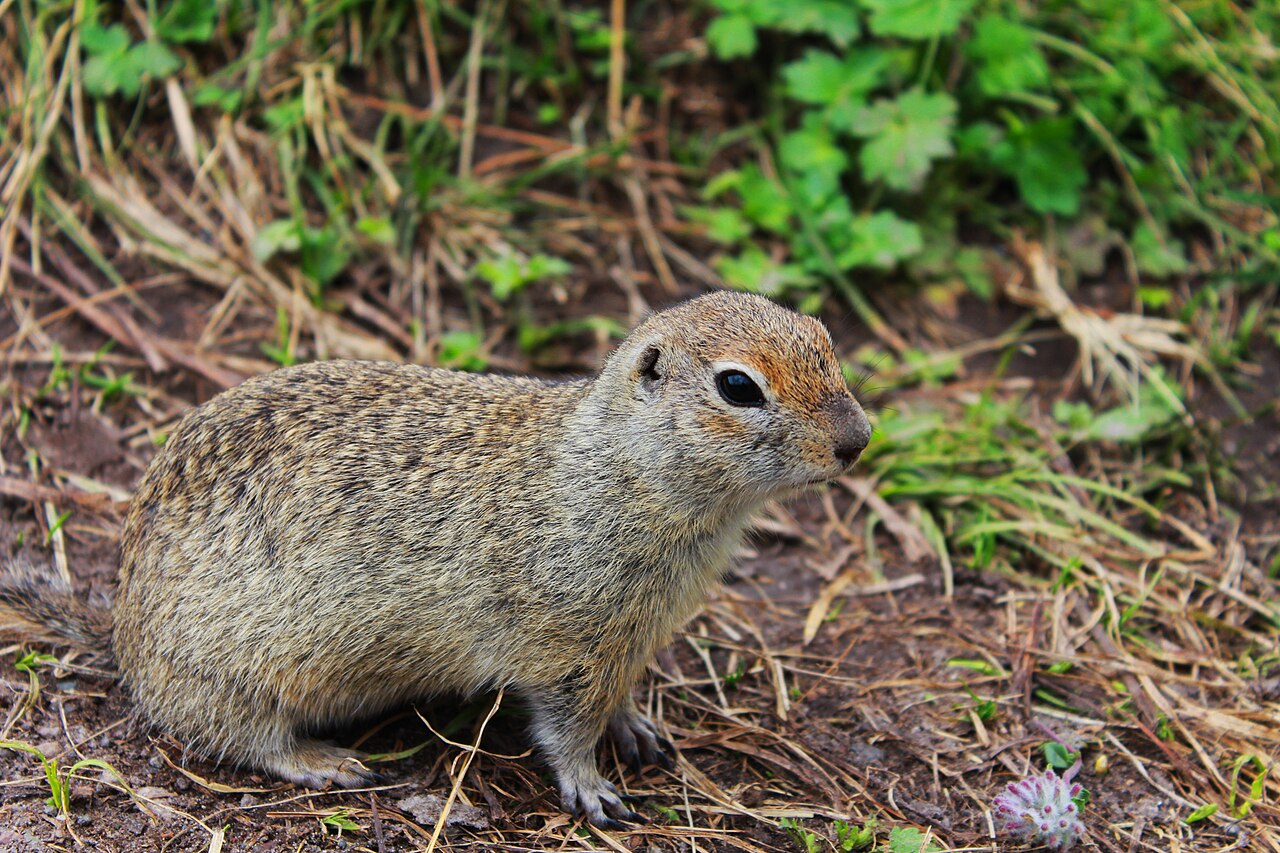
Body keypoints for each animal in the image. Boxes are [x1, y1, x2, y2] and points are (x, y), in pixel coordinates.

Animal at [0, 291, 871, 828]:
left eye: (825, 339)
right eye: (738, 386)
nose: (858, 439)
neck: (618, 465)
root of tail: (121, 631)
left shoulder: (626, 638)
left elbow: (618, 695)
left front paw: (637, 726)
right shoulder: (565, 643)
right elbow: (565, 726)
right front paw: (591, 785)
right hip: (237, 671)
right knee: (236, 735)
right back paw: (322, 761)